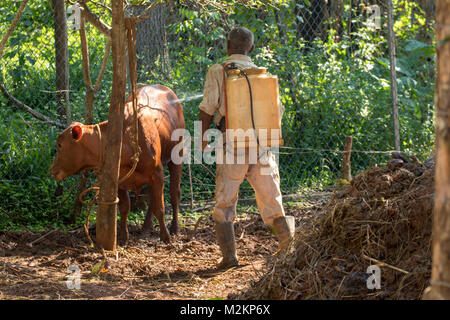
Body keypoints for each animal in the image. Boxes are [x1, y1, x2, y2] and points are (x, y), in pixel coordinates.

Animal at [51, 85, 186, 245]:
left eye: (60, 145)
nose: (52, 170)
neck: (127, 141)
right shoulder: (120, 179)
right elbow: (125, 207)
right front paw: (122, 238)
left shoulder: (157, 174)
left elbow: (160, 207)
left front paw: (165, 237)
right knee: (151, 198)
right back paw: (146, 227)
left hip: (178, 156)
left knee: (174, 193)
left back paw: (174, 228)